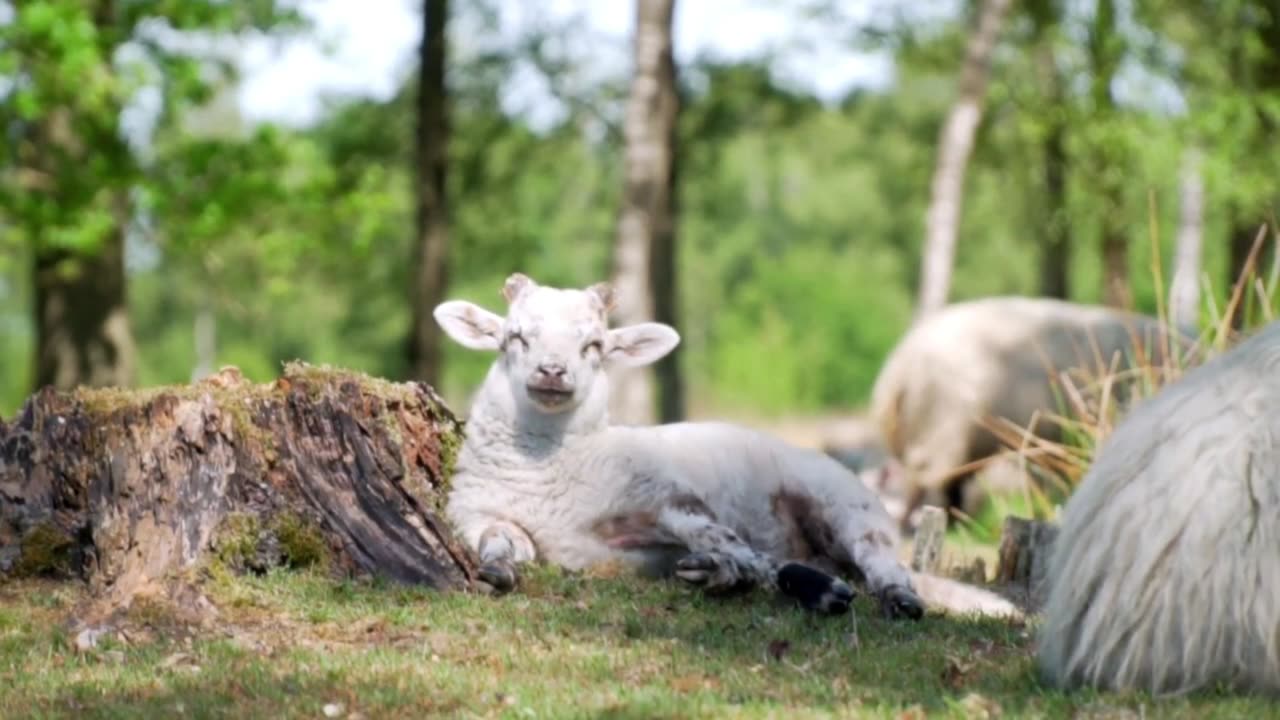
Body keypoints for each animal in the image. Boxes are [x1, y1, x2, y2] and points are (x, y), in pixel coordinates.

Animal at [433, 273, 1022, 620]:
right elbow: (497, 546)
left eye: (595, 346)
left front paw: (798, 585)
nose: (552, 373)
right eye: (514, 337)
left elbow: (744, 551)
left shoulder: (669, 500)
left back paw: (892, 597)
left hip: (846, 505)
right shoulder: (492, 518)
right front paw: (496, 572)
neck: (551, 467)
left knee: (878, 562)